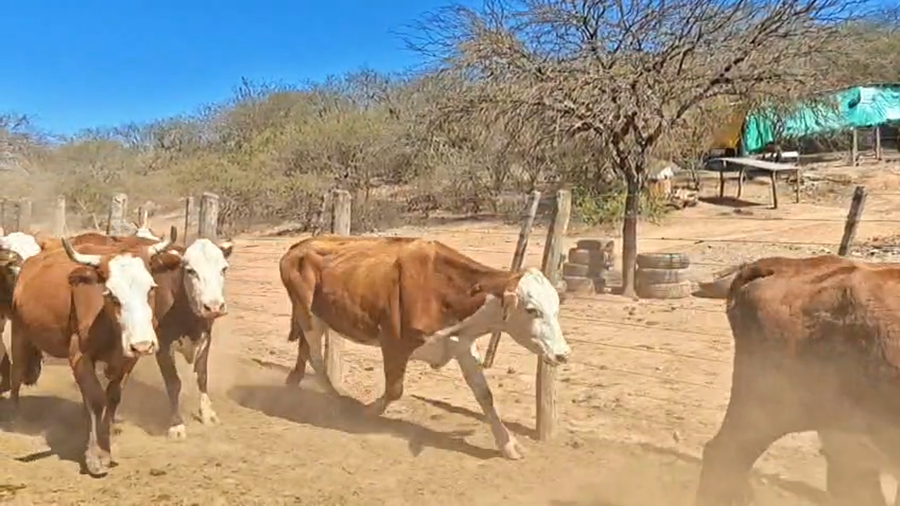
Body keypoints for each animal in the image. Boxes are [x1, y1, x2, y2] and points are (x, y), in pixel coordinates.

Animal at [3, 235, 178, 476]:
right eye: (111, 294)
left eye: (151, 288)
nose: (143, 344)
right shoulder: (79, 355)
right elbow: (96, 398)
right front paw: (97, 456)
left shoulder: (127, 359)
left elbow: (112, 397)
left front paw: (104, 439)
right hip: (20, 333)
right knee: (16, 375)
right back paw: (14, 419)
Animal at [279, 235, 571, 460]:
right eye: (532, 310)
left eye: (557, 308)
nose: (563, 354)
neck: (443, 290)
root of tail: (299, 245)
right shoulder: (393, 344)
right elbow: (395, 390)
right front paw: (367, 411)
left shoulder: (463, 346)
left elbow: (485, 396)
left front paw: (508, 444)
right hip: (308, 314)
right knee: (316, 357)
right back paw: (338, 401)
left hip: (314, 317)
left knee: (305, 350)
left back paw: (294, 383)